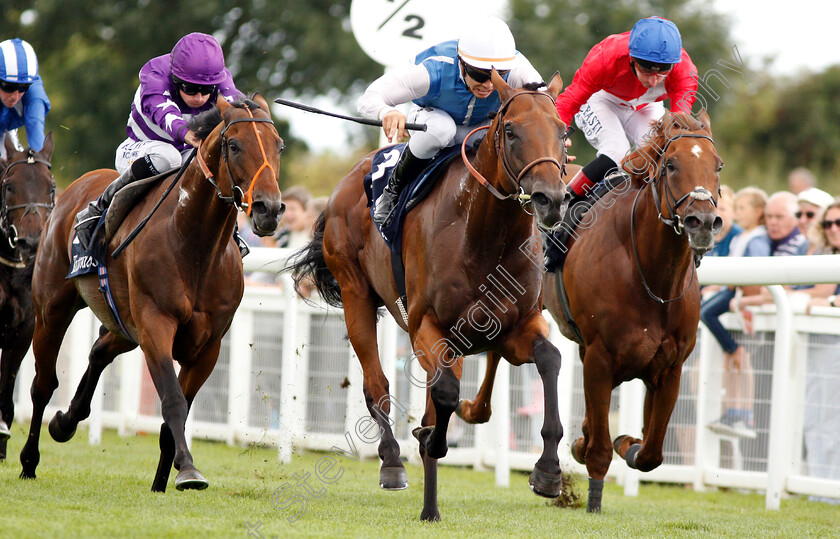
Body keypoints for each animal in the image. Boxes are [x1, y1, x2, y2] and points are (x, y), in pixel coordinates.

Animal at [18, 95, 286, 492]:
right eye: (235, 146)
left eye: (278, 146)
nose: (270, 209)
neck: (193, 244)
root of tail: (74, 189)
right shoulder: (156, 326)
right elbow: (172, 401)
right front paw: (188, 470)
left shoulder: (208, 346)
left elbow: (174, 419)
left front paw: (163, 482)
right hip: (53, 309)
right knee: (42, 384)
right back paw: (28, 460)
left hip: (123, 324)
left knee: (99, 351)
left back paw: (65, 421)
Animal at [290, 71, 572, 524]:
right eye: (511, 131)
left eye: (562, 132)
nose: (552, 199)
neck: (483, 232)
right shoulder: (426, 326)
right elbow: (444, 394)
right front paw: (429, 439)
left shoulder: (520, 324)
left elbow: (549, 359)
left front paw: (547, 472)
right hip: (355, 294)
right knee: (376, 385)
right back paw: (392, 462)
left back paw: (430, 503)